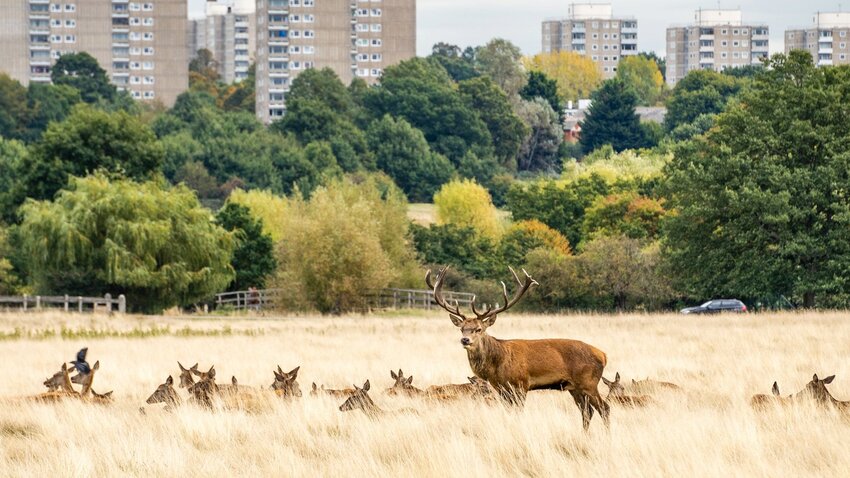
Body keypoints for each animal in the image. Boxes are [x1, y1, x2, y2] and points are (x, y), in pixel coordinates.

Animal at [428, 268, 608, 432]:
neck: (497, 365)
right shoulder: (502, 389)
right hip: (574, 387)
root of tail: (603, 355)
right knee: (587, 411)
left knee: (604, 408)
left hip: (589, 382)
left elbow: (519, 413)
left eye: (479, 329)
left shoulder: (521, 384)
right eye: (462, 329)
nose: (465, 340)